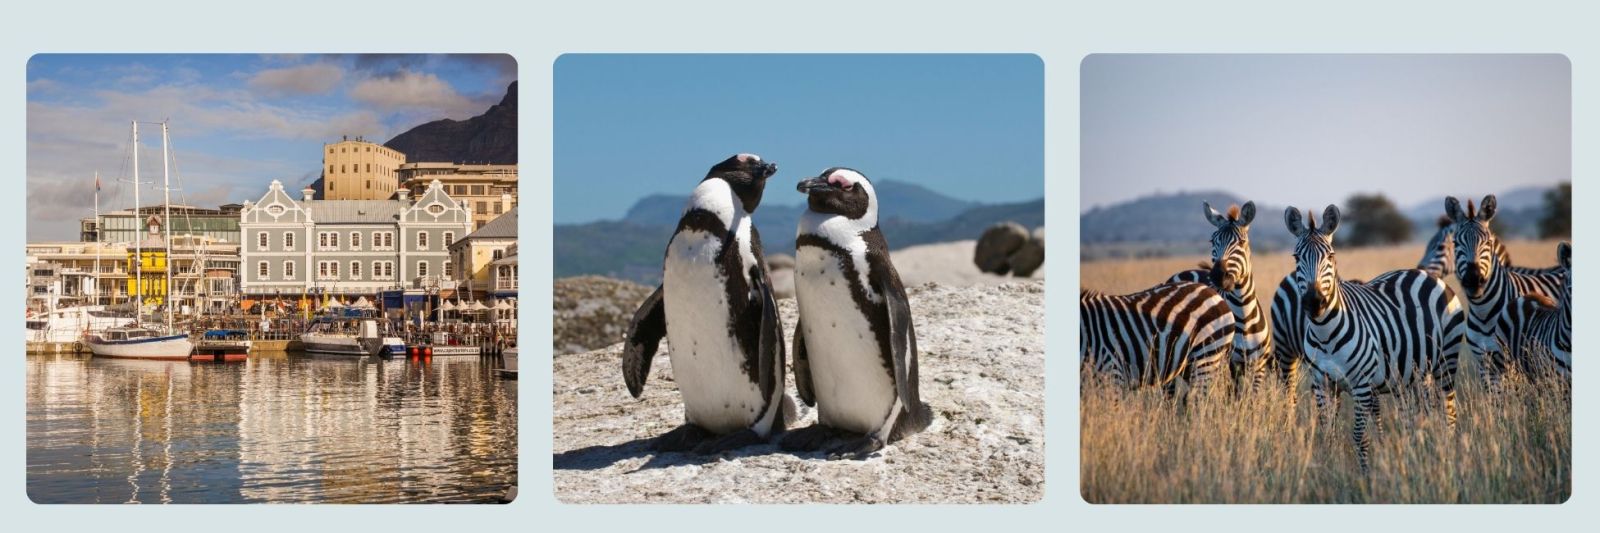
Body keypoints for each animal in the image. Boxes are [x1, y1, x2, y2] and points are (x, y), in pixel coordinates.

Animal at [1167, 201, 1273, 392]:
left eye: (1242, 242)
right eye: (1212, 241)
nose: (1217, 275)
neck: (1244, 317)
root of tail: (1184, 272)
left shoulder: (1258, 367)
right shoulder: (1226, 366)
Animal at [1286, 205, 1466, 472]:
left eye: (1330, 257)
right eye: (1297, 258)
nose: (1314, 302)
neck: (1325, 334)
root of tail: (1428, 275)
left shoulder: (1361, 384)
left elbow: (1360, 435)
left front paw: (1365, 475)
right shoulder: (1321, 384)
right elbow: (1327, 433)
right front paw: (1329, 468)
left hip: (1447, 362)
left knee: (1449, 412)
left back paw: (1448, 455)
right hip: (1414, 375)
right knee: (1417, 416)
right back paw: (1418, 454)